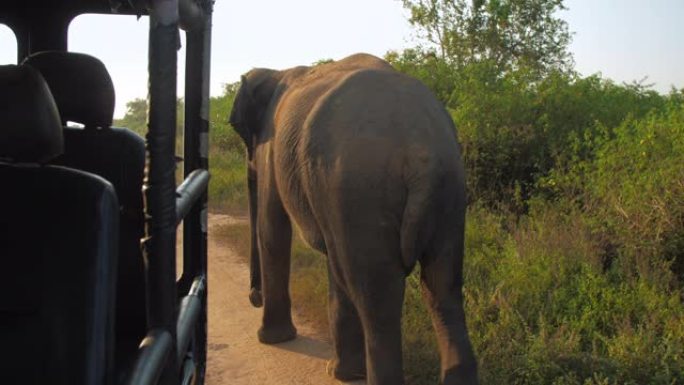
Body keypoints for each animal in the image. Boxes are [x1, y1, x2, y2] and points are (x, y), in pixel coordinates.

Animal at [230, 53, 476, 384]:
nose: (253, 297)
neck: (278, 72)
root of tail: (419, 150)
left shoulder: (272, 147)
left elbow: (272, 229)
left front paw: (271, 340)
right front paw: (342, 372)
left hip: (359, 189)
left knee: (377, 299)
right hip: (447, 188)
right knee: (443, 287)